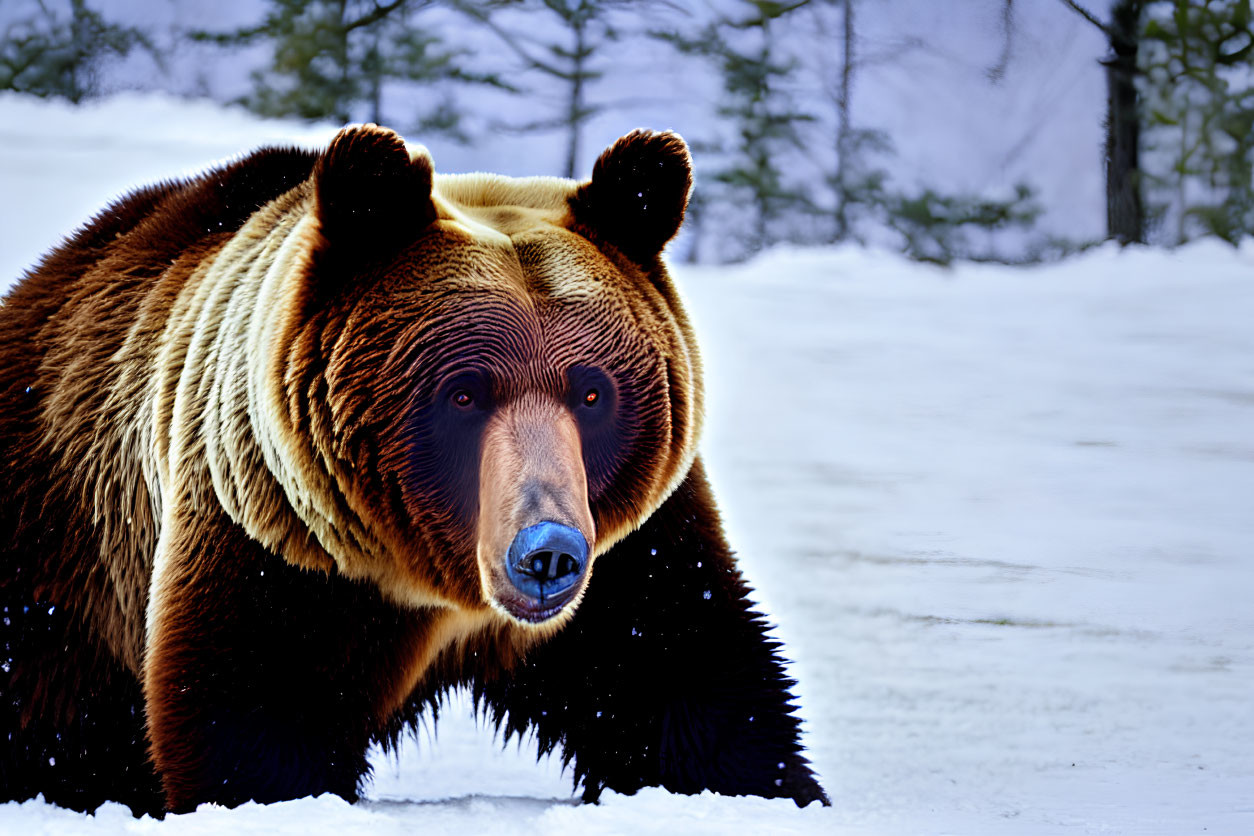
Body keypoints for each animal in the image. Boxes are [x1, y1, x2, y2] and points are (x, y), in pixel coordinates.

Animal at [0, 125, 827, 817]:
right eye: (464, 392)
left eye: (594, 391)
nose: (546, 553)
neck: (434, 580)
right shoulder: (279, 539)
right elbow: (251, 715)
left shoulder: (633, 550)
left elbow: (691, 685)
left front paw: (757, 790)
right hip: (60, 534)